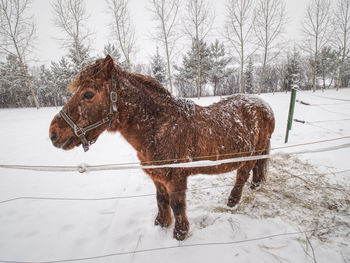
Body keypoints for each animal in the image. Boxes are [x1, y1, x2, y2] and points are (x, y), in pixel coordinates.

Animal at [49, 55, 274, 241]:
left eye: (88, 94)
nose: (53, 133)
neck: (159, 127)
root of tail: (264, 106)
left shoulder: (177, 177)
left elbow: (177, 204)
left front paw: (180, 233)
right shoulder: (157, 176)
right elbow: (161, 200)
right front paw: (161, 223)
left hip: (250, 155)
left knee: (242, 175)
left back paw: (232, 201)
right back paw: (255, 186)